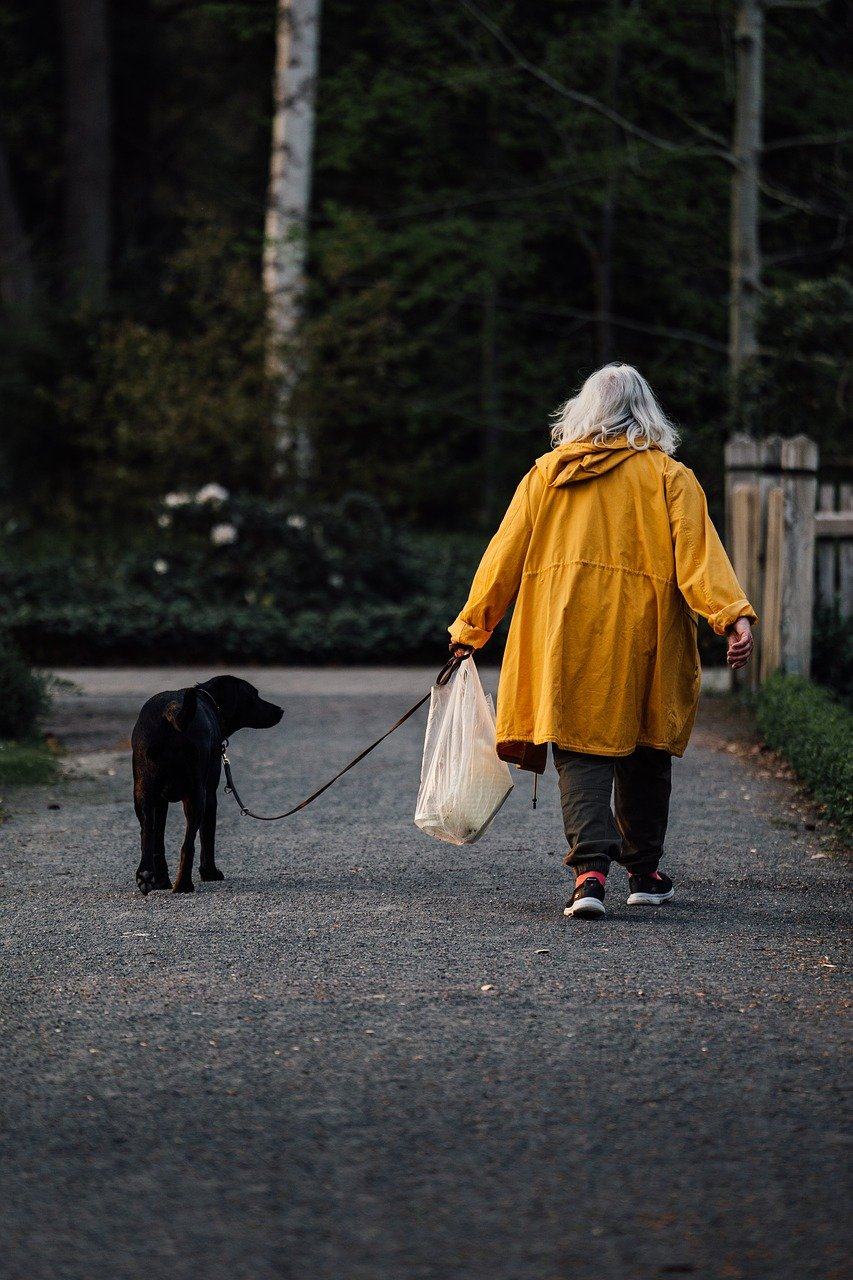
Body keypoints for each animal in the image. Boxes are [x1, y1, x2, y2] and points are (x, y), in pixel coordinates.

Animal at [130, 675, 281, 896]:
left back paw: (146, 876)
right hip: (196, 796)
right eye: (253, 694)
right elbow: (207, 836)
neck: (211, 702)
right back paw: (183, 885)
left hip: (143, 793)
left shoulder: (160, 802)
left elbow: (158, 841)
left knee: (147, 835)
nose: (280, 710)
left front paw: (161, 881)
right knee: (188, 845)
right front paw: (210, 873)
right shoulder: (210, 795)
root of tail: (171, 712)